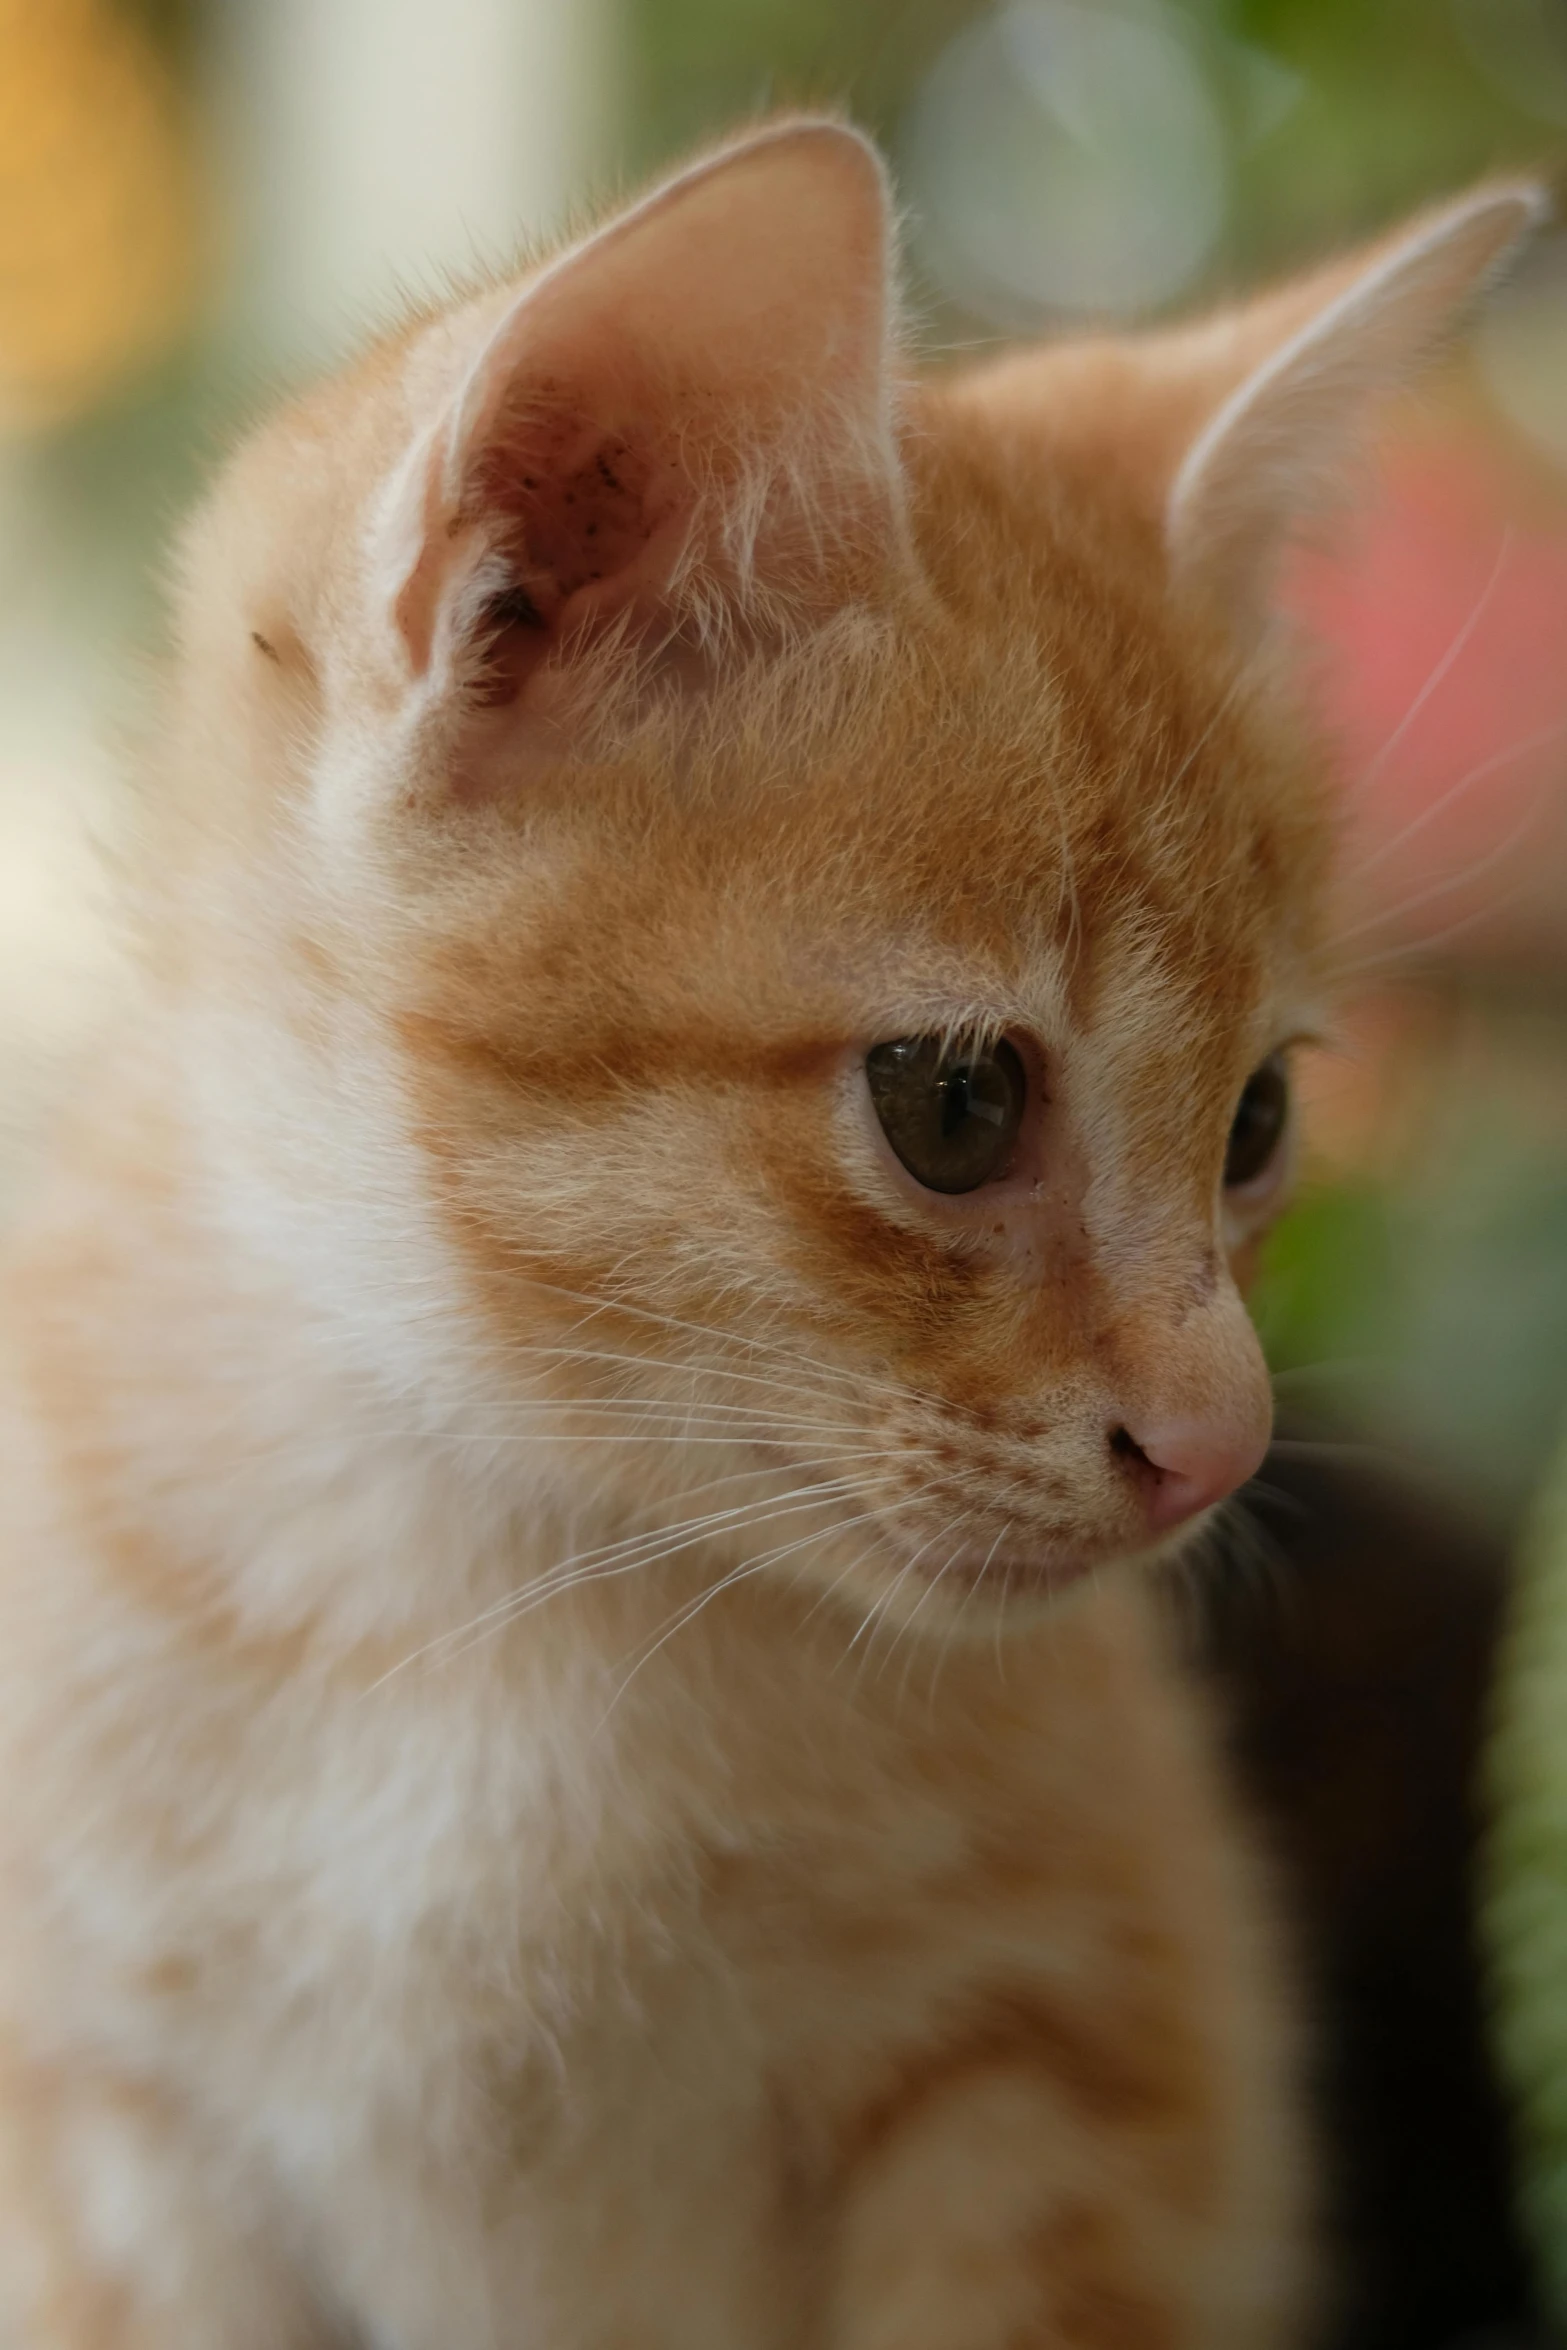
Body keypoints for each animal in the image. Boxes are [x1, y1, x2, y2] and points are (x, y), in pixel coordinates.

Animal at [0, 123, 1541, 2350]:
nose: (1222, 1446)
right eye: (953, 1104)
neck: (480, 1594)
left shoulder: (1070, 2075)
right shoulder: (113, 2137)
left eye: (1256, 1123)